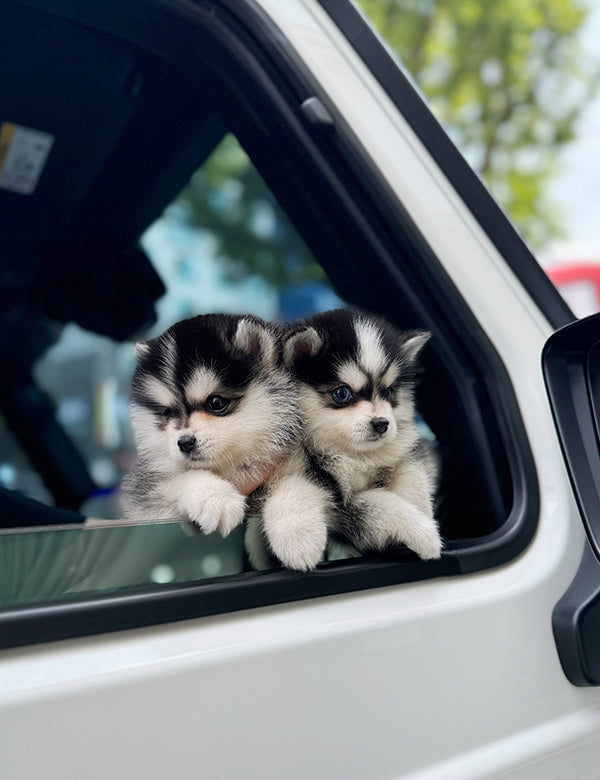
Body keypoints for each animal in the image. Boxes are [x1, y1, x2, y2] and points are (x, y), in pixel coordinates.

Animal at [120, 312, 304, 536]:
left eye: (216, 403)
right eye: (168, 412)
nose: (185, 443)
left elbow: (298, 482)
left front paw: (297, 529)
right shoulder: (146, 492)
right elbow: (180, 478)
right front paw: (215, 499)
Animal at [278, 308, 442, 564]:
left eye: (389, 392)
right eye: (342, 393)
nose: (381, 424)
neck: (354, 455)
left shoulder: (404, 450)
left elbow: (412, 475)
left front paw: (422, 511)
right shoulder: (337, 502)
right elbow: (379, 504)